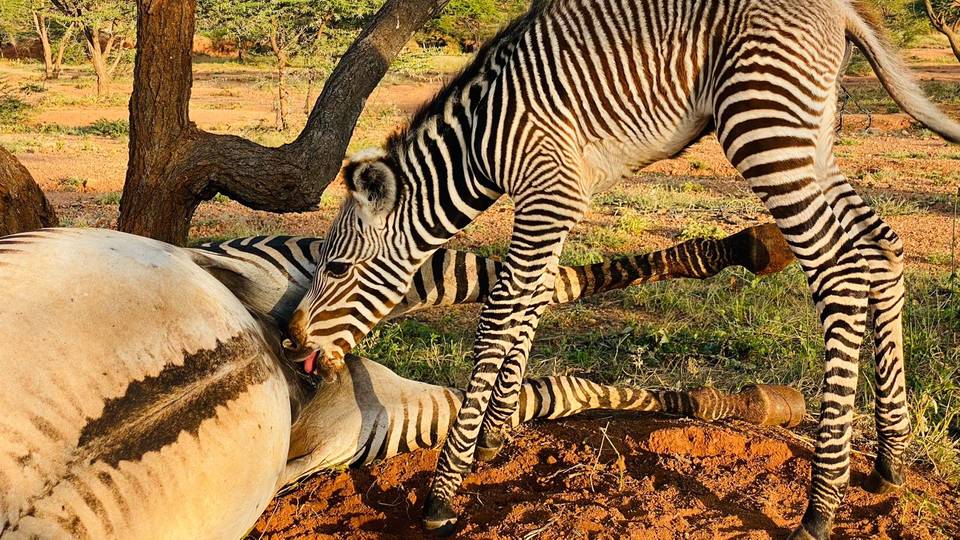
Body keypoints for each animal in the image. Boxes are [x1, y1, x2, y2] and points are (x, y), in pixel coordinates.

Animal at [0, 226, 799, 538]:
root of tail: (283, 352)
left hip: (301, 270)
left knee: (517, 282)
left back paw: (748, 254)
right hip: (371, 416)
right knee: (535, 381)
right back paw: (751, 398)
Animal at [285, 0, 960, 537]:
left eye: (337, 266)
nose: (291, 341)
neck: (480, 144)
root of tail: (838, 10)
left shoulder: (547, 192)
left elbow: (499, 317)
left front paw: (445, 490)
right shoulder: (556, 201)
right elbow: (530, 304)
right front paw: (497, 436)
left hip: (765, 127)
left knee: (840, 271)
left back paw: (821, 505)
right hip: (809, 139)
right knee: (882, 249)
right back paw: (889, 462)